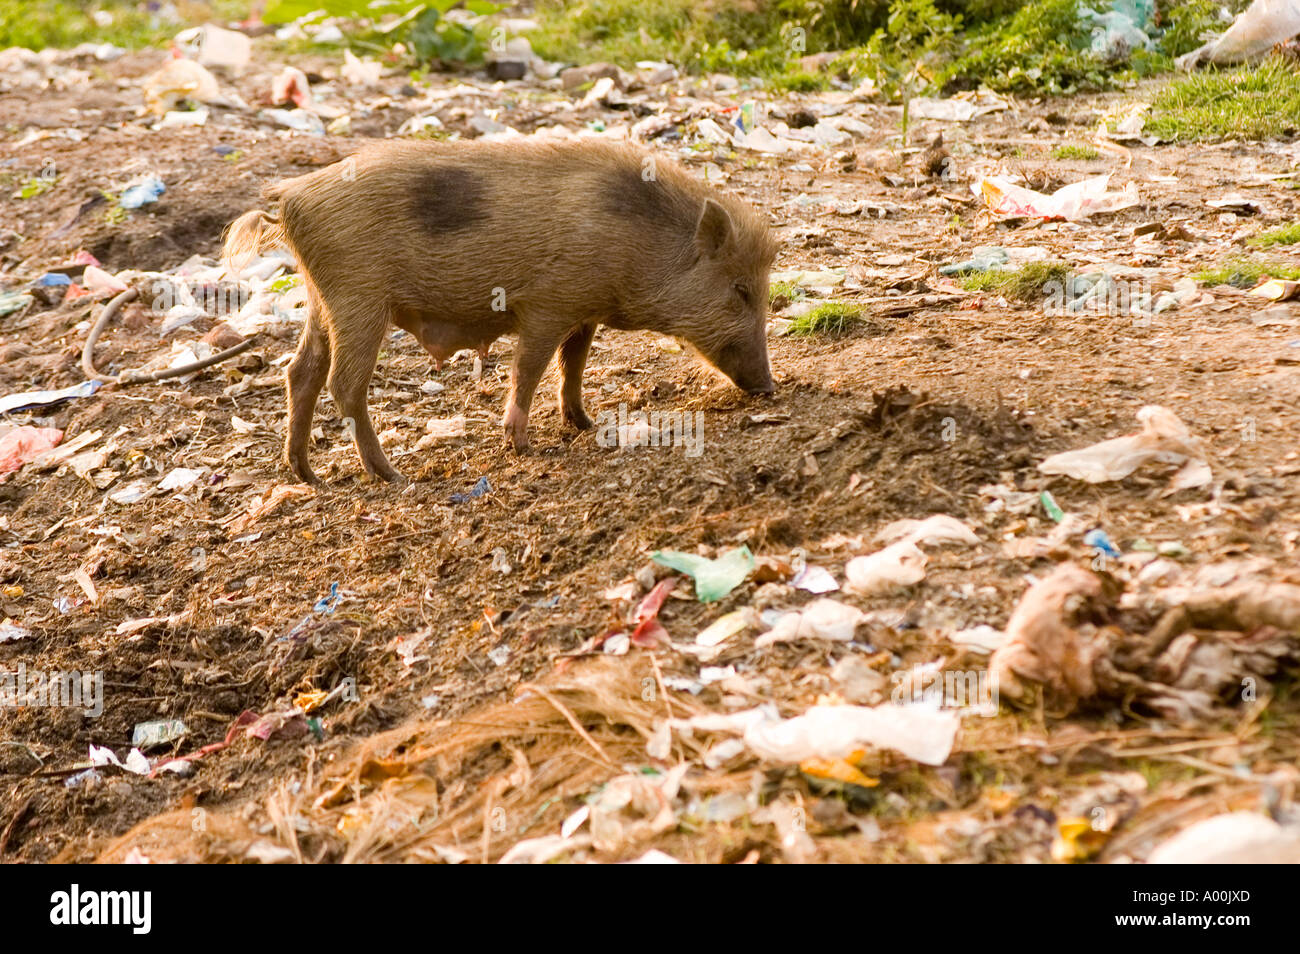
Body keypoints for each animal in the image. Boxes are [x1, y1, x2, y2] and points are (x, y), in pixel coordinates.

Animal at [219, 138, 774, 486]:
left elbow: (574, 364)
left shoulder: (583, 310)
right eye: (742, 290)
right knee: (343, 384)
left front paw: (585, 424)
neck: (641, 243)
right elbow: (529, 369)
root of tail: (290, 198)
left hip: (321, 299)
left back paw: (308, 476)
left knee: (300, 372)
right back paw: (393, 476)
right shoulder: (547, 304)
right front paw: (524, 447)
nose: (769, 386)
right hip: (358, 298)